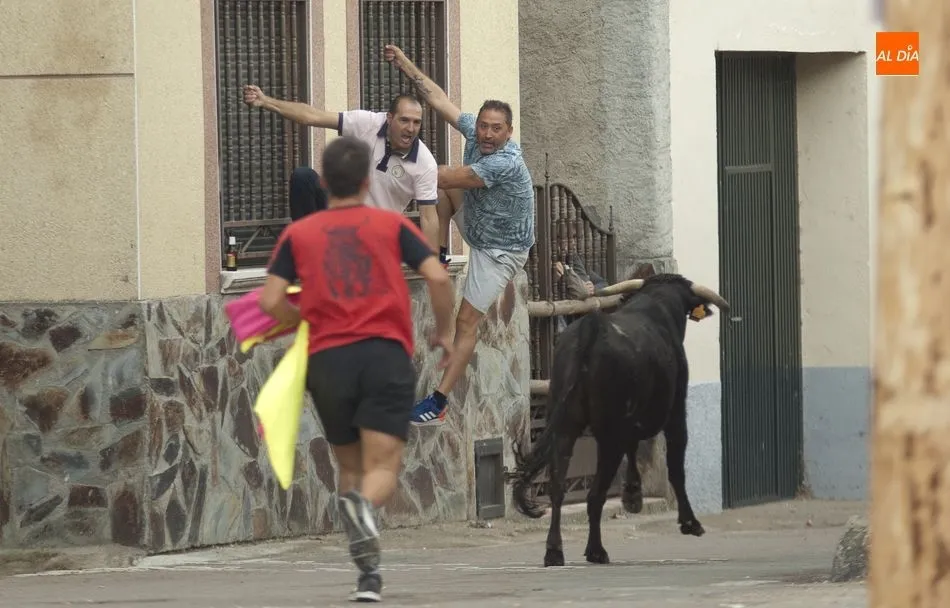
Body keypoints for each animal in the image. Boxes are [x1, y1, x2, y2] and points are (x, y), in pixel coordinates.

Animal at [510, 272, 730, 567]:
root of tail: (590, 329)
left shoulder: (628, 422)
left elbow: (633, 448)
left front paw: (633, 495)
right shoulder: (675, 414)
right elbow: (675, 467)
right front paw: (689, 522)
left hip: (565, 427)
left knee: (558, 488)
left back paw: (554, 551)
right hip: (607, 435)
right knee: (595, 494)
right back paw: (596, 550)